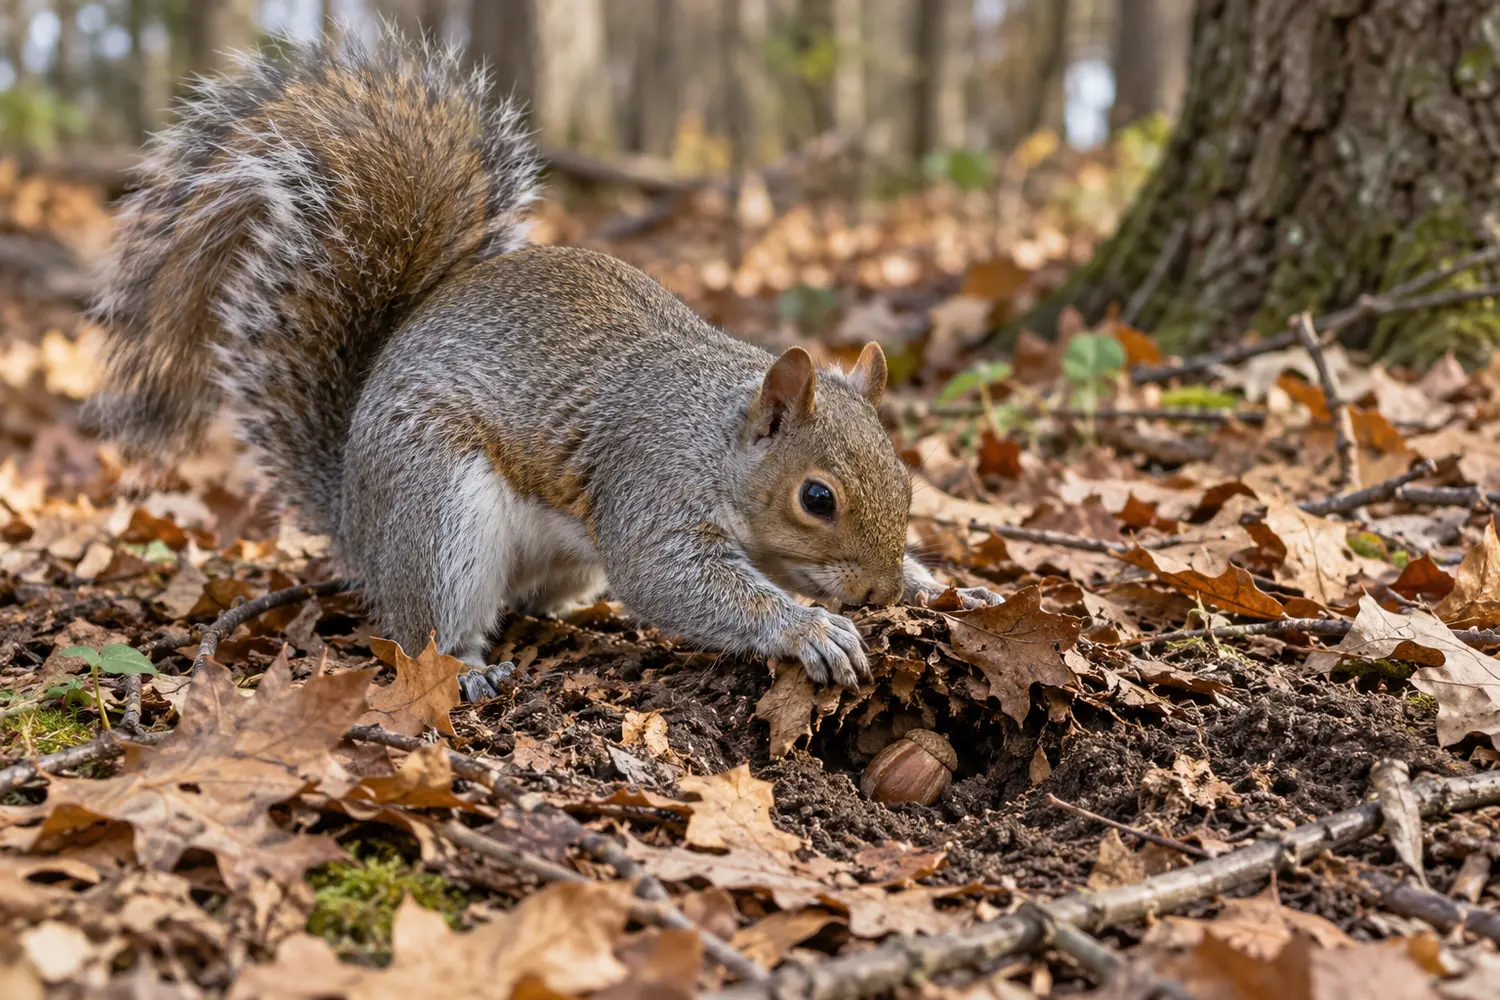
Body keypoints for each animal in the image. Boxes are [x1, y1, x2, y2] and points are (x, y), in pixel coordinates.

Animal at [89, 29, 1002, 698]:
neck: (715, 433)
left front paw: (944, 585)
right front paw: (809, 627)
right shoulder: (649, 486)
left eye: (908, 480)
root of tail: (354, 517)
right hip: (437, 509)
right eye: (818, 499)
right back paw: (467, 670)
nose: (877, 593)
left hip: (554, 563)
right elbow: (672, 578)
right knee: (422, 627)